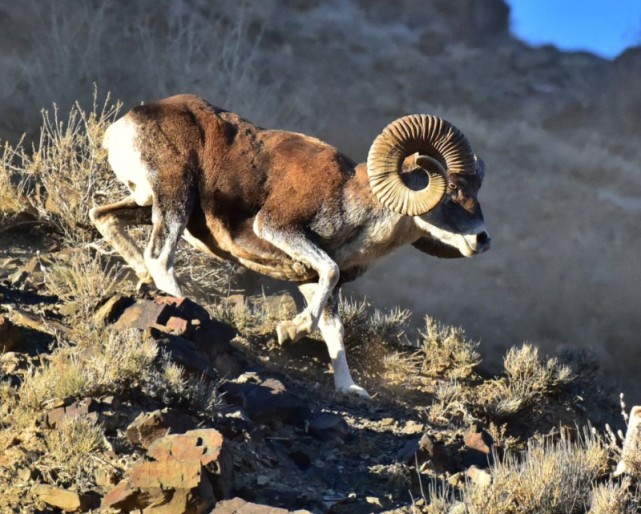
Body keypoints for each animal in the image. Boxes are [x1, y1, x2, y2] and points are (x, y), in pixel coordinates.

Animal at [90, 95, 490, 396]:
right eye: (453, 190)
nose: (482, 240)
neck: (354, 203)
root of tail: (122, 127)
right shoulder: (280, 230)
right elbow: (329, 274)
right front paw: (290, 331)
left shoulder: (310, 279)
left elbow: (333, 327)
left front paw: (349, 389)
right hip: (175, 200)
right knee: (159, 258)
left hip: (147, 205)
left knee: (103, 217)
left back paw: (142, 278)